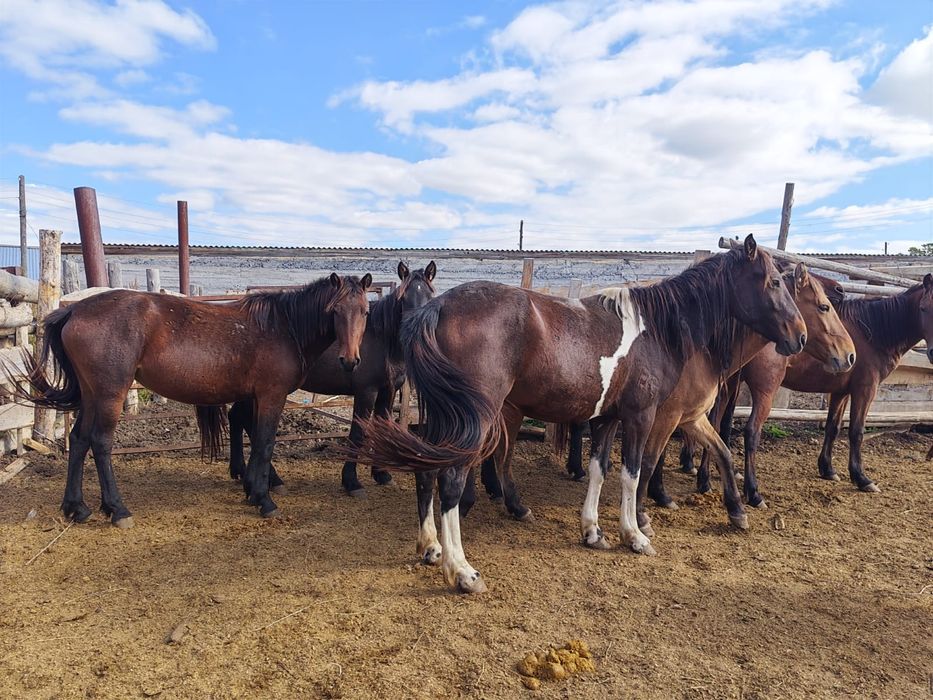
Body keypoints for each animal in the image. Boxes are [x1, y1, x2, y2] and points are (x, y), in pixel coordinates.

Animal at [15, 273, 372, 526]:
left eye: (365, 312)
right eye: (334, 311)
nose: (350, 360)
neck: (284, 328)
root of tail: (74, 309)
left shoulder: (257, 396)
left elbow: (256, 441)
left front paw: (254, 490)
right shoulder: (272, 395)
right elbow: (266, 442)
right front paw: (264, 499)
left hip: (91, 394)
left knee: (78, 439)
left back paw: (76, 508)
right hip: (109, 393)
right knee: (100, 443)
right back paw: (117, 509)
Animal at [227, 261, 437, 496]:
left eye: (430, 295)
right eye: (404, 297)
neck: (383, 340)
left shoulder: (388, 390)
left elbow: (384, 428)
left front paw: (382, 474)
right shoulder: (366, 391)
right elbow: (358, 433)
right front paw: (352, 482)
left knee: (236, 417)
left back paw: (240, 471)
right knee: (246, 422)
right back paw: (272, 480)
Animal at [352, 235, 807, 593]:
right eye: (774, 282)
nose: (800, 336)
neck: (656, 330)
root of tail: (436, 308)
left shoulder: (607, 419)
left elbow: (598, 471)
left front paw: (593, 530)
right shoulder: (641, 417)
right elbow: (632, 473)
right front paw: (634, 534)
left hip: (445, 416)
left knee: (426, 471)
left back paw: (430, 546)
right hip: (475, 419)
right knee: (450, 479)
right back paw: (461, 570)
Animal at [686, 272, 933, 497]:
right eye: (924, 309)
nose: (931, 353)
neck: (871, 332)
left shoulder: (840, 392)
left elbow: (833, 427)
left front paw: (828, 469)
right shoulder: (865, 390)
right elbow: (856, 431)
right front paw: (861, 478)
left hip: (730, 383)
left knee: (715, 424)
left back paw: (705, 480)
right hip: (762, 390)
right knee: (749, 430)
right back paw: (751, 491)